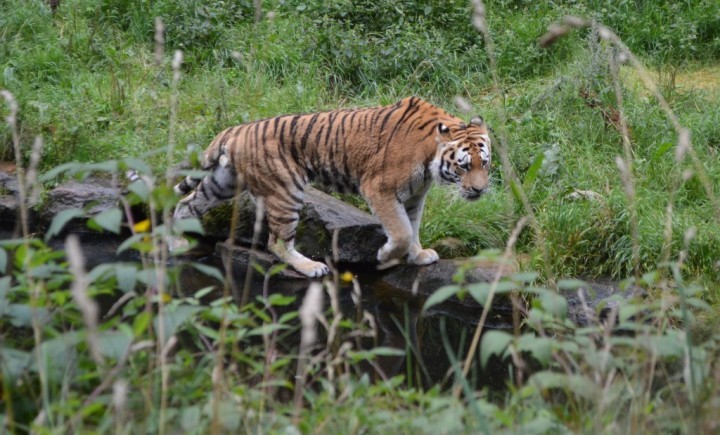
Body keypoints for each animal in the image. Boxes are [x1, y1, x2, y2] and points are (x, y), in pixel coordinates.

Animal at [172, 97, 492, 278]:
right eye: (464, 166)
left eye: (485, 164)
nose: (479, 191)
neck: (429, 160)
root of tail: (236, 129)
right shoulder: (379, 188)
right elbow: (400, 231)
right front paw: (386, 256)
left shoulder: (414, 196)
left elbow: (411, 227)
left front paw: (417, 255)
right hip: (286, 191)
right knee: (277, 242)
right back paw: (311, 267)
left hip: (223, 182)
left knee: (185, 203)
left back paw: (176, 242)